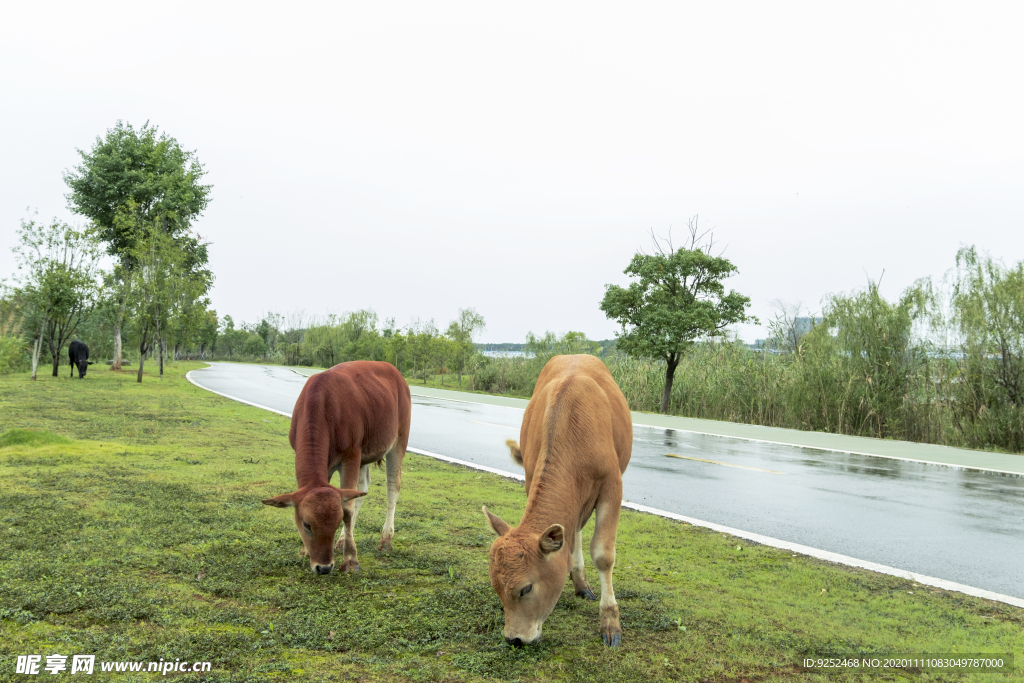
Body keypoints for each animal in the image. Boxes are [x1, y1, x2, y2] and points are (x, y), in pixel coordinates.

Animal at [262, 360, 413, 573]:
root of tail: (395, 371)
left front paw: (350, 559)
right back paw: (342, 541)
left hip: (399, 439)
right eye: (306, 524)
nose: (324, 567)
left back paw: (386, 539)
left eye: (336, 522)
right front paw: (305, 551)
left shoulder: (351, 456)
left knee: (393, 486)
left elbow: (347, 508)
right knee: (362, 488)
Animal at [479, 356, 630, 651]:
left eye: (526, 588)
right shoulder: (531, 479)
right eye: (496, 587)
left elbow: (603, 555)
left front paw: (610, 622)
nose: (514, 639)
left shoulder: (612, 487)